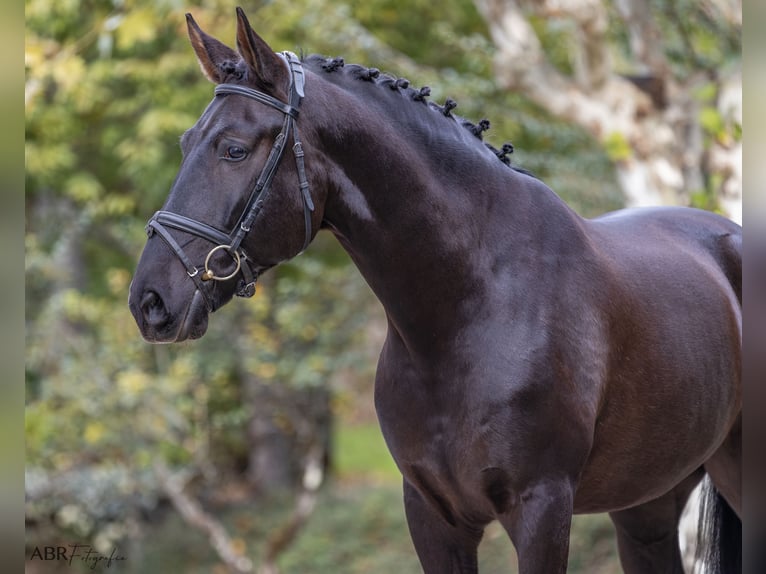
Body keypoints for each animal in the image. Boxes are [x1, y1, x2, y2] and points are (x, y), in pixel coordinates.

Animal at [129, 9, 740, 574]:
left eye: (233, 149)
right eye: (186, 142)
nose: (149, 302)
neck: (468, 311)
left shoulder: (542, 509)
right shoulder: (432, 515)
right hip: (648, 504)